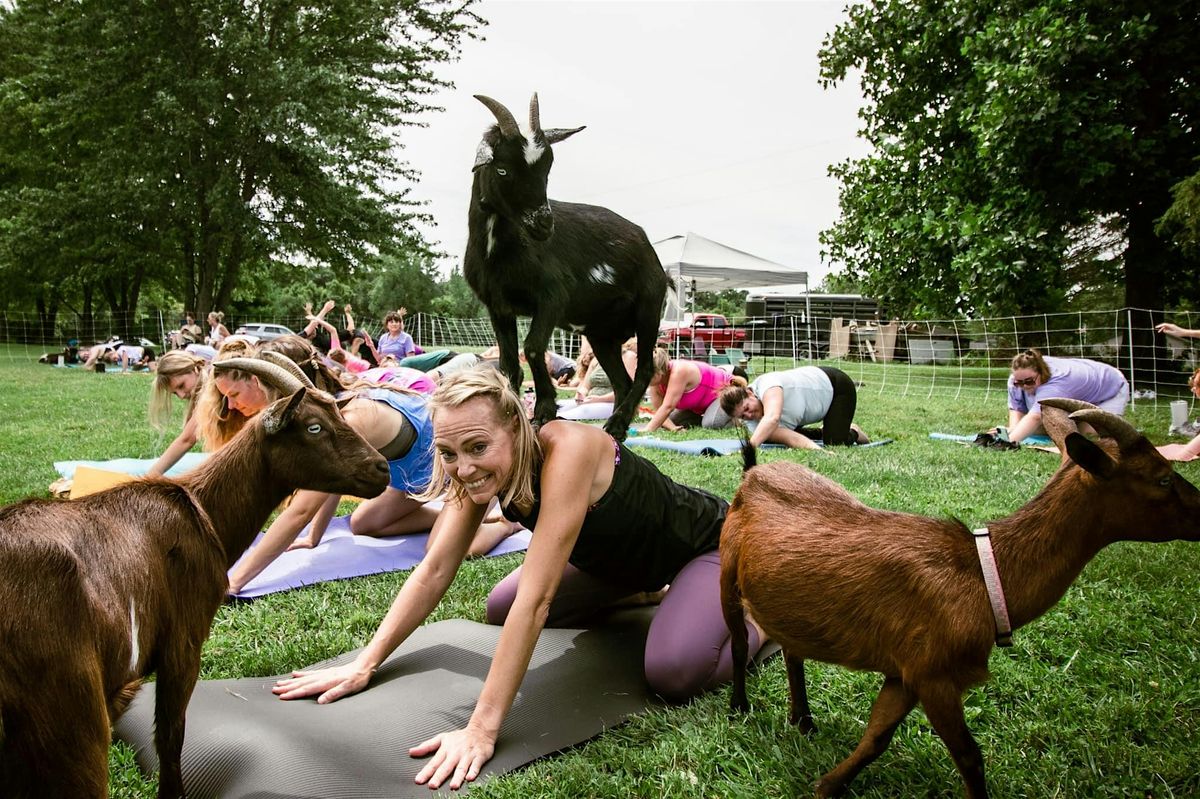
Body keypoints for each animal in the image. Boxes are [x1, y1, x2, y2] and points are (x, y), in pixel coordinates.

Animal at [0, 362, 386, 796]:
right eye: (314, 427)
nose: (382, 468)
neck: (202, 511)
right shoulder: (184, 640)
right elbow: (171, 736)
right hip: (70, 715)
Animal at [460, 95, 667, 439]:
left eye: (548, 168)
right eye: (502, 169)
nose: (544, 225)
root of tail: (646, 244)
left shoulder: (553, 296)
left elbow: (532, 348)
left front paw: (544, 410)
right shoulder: (498, 307)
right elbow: (509, 365)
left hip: (649, 307)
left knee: (645, 369)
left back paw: (616, 423)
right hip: (602, 334)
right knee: (621, 380)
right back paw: (616, 429)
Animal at [720, 398, 1200, 796]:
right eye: (1162, 478)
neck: (984, 576)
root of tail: (752, 472)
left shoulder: (907, 671)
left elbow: (877, 735)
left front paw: (827, 785)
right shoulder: (935, 675)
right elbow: (969, 755)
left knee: (792, 650)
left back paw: (803, 719)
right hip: (728, 571)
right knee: (741, 641)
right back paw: (740, 708)